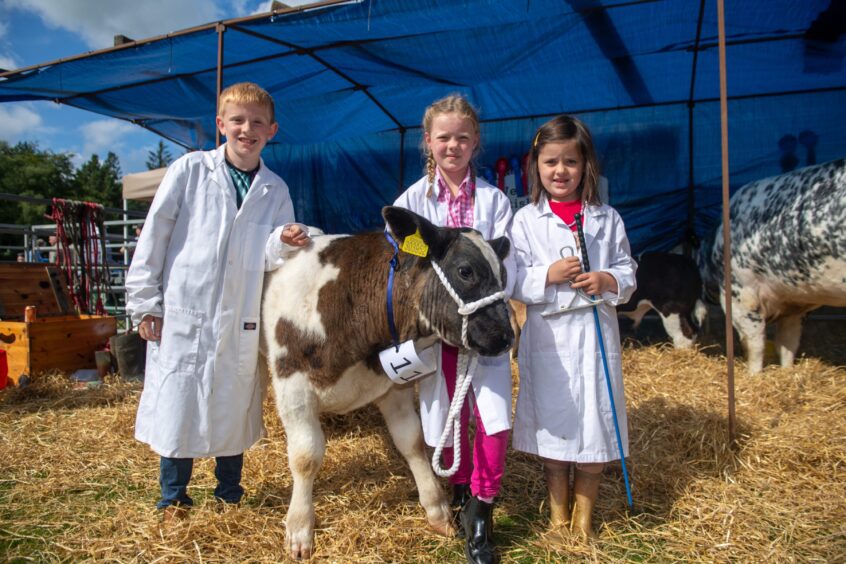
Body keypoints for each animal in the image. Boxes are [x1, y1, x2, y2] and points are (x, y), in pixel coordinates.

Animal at [262, 207, 512, 560]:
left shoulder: (392, 382)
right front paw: (299, 528)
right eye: (465, 271)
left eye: (504, 275)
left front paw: (436, 510)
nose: (505, 336)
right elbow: (305, 456)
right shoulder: (292, 383)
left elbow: (411, 440)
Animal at [704, 156, 846, 372]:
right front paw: (787, 371)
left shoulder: (742, 293)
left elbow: (755, 344)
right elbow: (787, 344)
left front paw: (752, 375)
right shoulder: (795, 303)